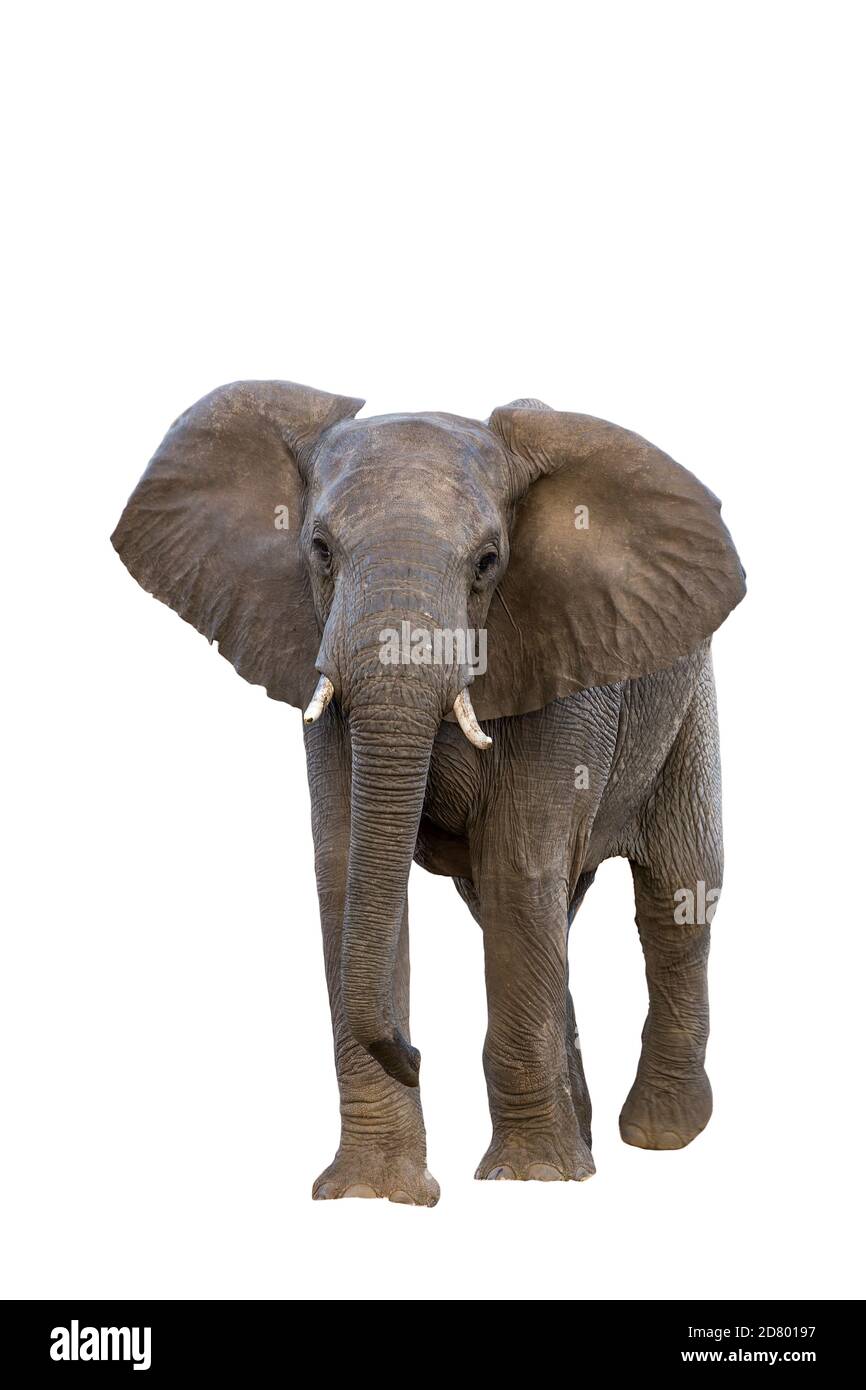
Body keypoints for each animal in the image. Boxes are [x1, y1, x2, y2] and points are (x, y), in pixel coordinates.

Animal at [112, 381, 745, 1206]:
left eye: (488, 562)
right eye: (320, 551)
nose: (414, 1054)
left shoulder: (559, 669)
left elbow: (519, 867)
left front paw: (530, 1181)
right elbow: (348, 871)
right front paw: (374, 1195)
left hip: (689, 703)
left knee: (675, 892)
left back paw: (659, 1135)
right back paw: (585, 1140)